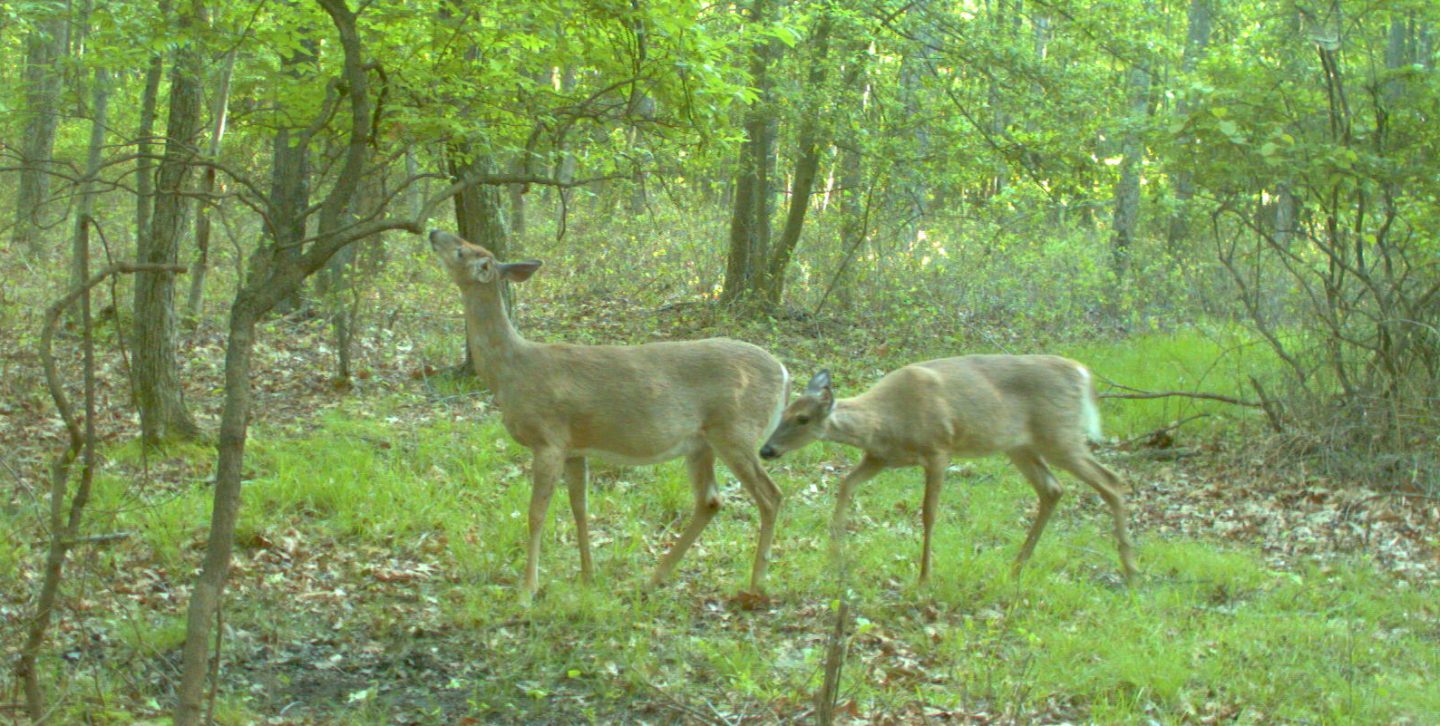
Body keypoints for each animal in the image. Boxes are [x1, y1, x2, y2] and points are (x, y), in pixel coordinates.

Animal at [426, 229, 789, 599]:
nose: (433, 232)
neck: (511, 372)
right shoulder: (575, 447)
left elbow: (536, 514)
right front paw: (588, 576)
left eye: (461, 251)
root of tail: (784, 373)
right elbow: (580, 509)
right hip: (702, 443)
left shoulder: (548, 440)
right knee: (711, 501)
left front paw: (527, 590)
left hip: (736, 431)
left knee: (770, 496)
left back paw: (755, 582)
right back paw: (654, 579)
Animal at [760, 355, 1140, 584]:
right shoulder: (879, 458)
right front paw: (834, 554)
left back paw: (1130, 567)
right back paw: (1017, 566)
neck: (886, 421)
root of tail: (1083, 373)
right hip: (1020, 446)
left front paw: (924, 575)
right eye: (783, 412)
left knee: (1111, 480)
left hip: (1059, 436)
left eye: (802, 419)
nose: (766, 450)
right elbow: (845, 485)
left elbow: (928, 514)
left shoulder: (938, 449)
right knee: (1053, 489)